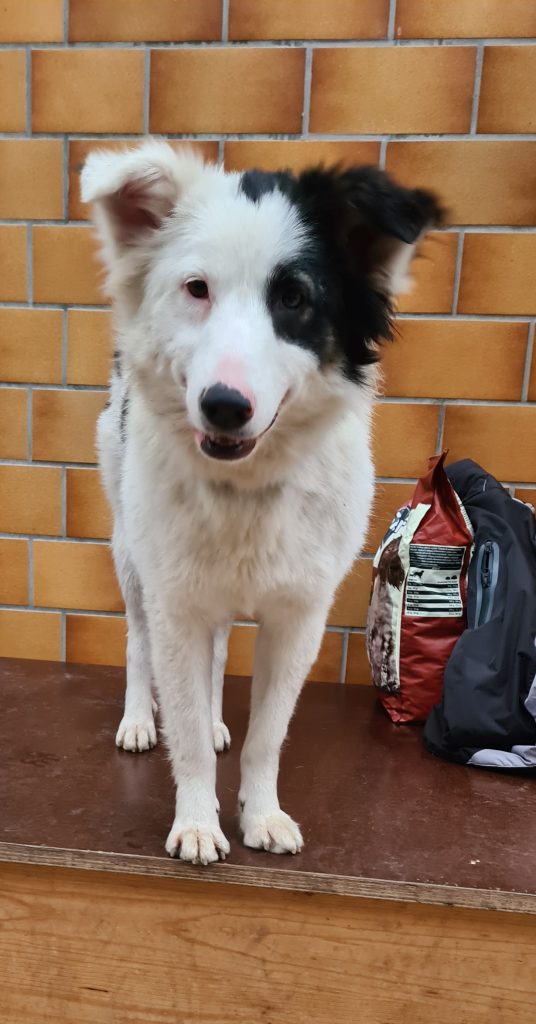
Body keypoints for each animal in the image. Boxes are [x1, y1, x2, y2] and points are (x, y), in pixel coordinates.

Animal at [81, 141, 442, 864]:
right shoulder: (176, 605)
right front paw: (197, 820)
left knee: (219, 659)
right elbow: (185, 728)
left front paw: (261, 813)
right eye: (196, 289)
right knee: (136, 641)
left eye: (294, 298)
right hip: (131, 554)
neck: (245, 490)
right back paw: (138, 718)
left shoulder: (297, 618)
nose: (225, 405)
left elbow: (267, 734)